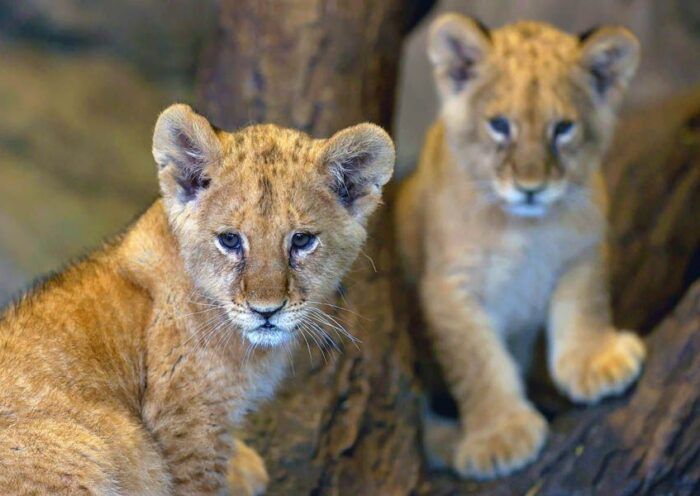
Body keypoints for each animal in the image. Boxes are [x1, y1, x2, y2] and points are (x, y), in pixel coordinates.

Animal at [395, 15, 645, 479]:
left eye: (562, 128)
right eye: (499, 124)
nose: (532, 188)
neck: (525, 228)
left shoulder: (581, 249)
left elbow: (585, 305)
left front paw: (594, 362)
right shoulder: (448, 286)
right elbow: (476, 362)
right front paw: (499, 436)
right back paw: (446, 440)